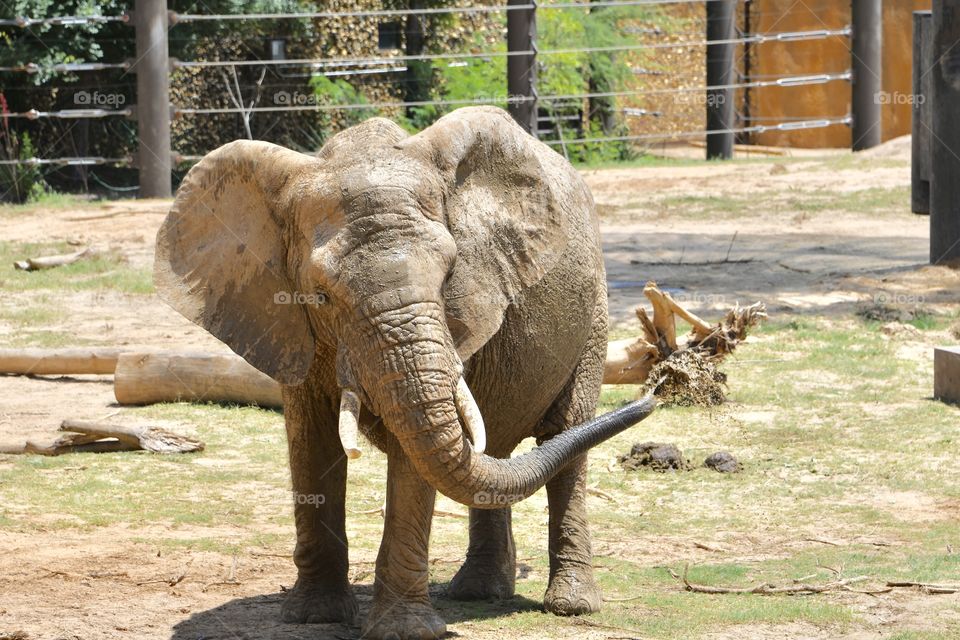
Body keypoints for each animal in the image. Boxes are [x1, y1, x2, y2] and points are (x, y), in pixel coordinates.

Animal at [153, 106, 654, 640]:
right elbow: (310, 439)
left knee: (566, 434)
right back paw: (477, 593)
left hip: (594, 312)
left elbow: (413, 455)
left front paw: (405, 631)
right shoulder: (288, 323)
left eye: (449, 273)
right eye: (321, 294)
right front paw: (313, 616)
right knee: (494, 449)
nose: (652, 396)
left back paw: (570, 605)